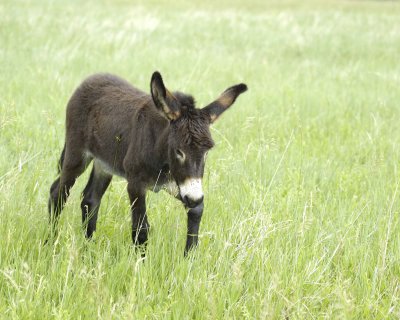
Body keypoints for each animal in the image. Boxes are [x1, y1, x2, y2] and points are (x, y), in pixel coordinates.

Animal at [47, 72, 247, 255]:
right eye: (179, 151)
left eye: (207, 151)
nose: (193, 198)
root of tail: (91, 78)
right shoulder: (136, 185)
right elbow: (140, 228)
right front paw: (139, 265)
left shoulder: (179, 185)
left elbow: (196, 213)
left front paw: (189, 259)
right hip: (77, 155)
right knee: (58, 193)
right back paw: (51, 242)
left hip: (104, 164)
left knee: (90, 200)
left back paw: (89, 247)